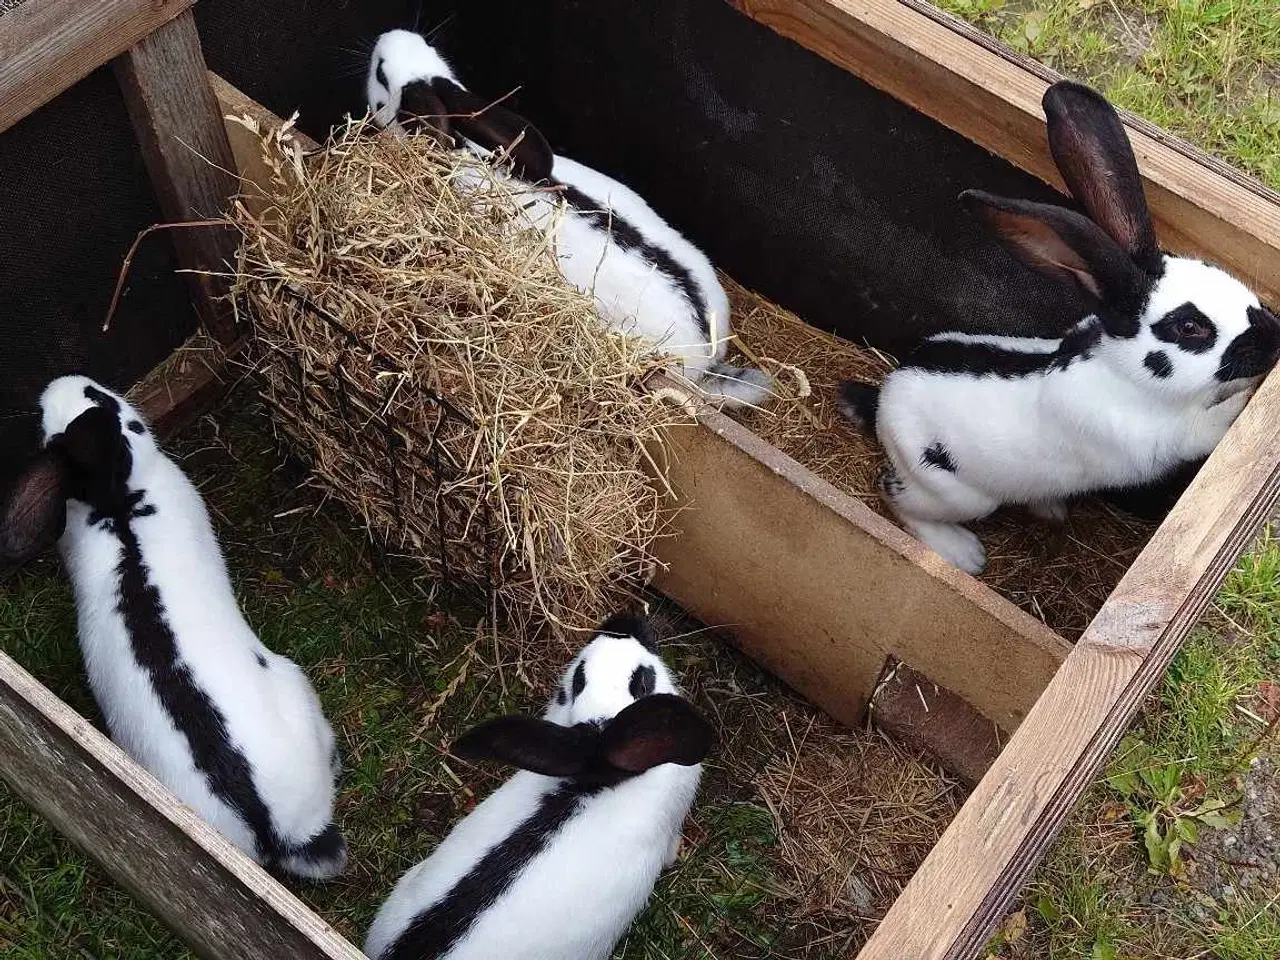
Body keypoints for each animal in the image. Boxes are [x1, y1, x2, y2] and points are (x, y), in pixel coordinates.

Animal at [0, 376, 345, 880]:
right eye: (124, 418)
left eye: (92, 399)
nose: (60, 384)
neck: (120, 505)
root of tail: (275, 827)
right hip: (295, 683)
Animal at [839, 82, 1280, 576]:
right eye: (1190, 327)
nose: (1273, 337)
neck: (1123, 375)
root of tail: (883, 400)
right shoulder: (1167, 439)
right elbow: (1211, 426)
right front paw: (1247, 397)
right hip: (953, 492)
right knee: (893, 493)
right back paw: (963, 552)